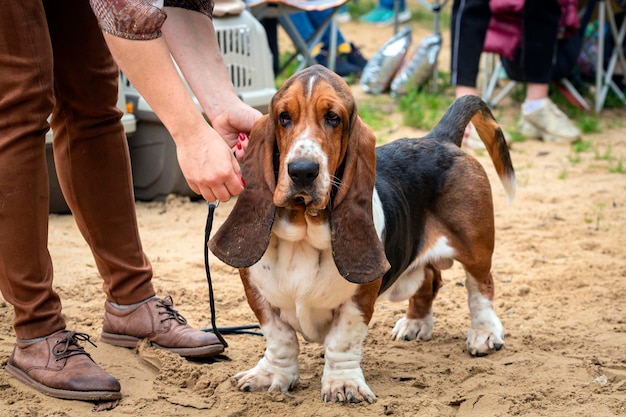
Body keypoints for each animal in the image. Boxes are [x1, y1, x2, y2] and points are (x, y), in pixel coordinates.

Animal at [210, 65, 512, 404]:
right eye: (283, 117)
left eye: (333, 118)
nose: (302, 170)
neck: (304, 232)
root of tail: (439, 137)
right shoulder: (259, 296)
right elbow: (281, 339)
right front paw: (271, 376)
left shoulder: (358, 301)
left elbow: (341, 341)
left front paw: (343, 385)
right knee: (430, 280)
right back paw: (415, 324)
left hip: (476, 249)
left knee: (480, 287)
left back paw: (484, 334)